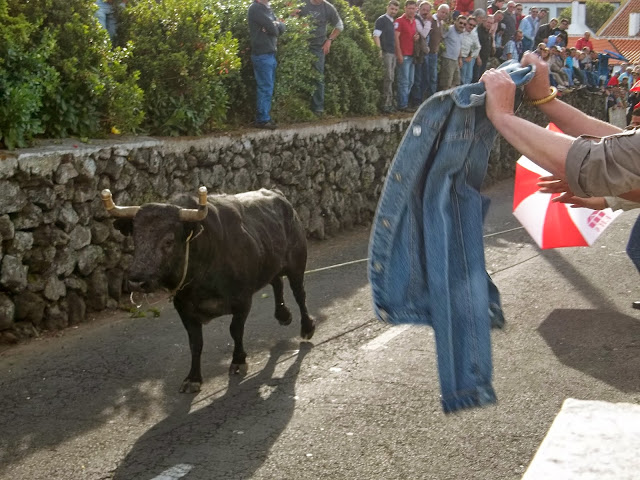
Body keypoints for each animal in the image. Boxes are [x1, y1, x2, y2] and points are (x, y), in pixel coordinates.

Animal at [100, 186, 318, 392]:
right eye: (136, 239)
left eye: (168, 241)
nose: (137, 281)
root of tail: (279, 195)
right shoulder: (184, 309)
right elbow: (195, 343)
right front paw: (193, 378)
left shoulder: (242, 301)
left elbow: (235, 330)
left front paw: (238, 360)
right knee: (276, 282)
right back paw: (283, 315)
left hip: (297, 264)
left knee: (299, 294)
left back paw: (307, 327)